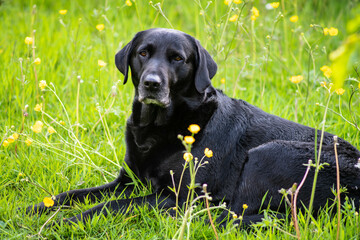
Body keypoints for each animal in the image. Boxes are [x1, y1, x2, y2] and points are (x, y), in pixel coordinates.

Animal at [25, 28, 360, 227]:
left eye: (177, 59)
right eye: (143, 53)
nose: (151, 84)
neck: (161, 127)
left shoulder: (174, 197)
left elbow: (108, 206)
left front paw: (61, 223)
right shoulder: (127, 180)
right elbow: (74, 194)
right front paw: (40, 207)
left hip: (268, 154)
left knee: (234, 215)